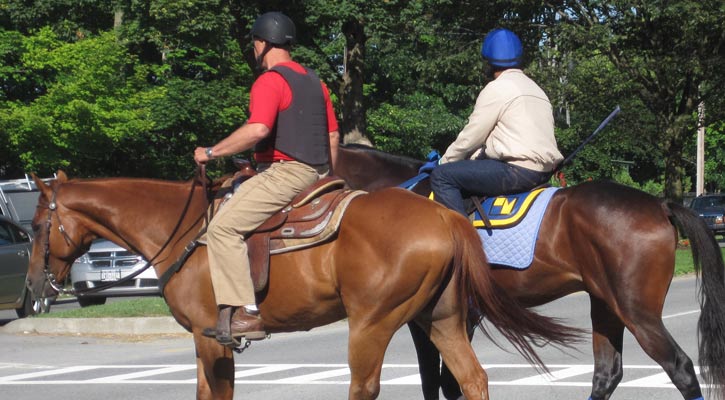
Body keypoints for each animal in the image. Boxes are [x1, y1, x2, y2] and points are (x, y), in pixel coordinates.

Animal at [26, 171, 584, 400]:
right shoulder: (208, 343)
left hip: (373, 323)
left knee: (365, 387)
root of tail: (445, 216)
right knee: (472, 381)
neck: (183, 233)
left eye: (33, 225)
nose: (34, 288)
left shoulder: (213, 340)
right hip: (441, 319)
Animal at [336, 144, 724, 400]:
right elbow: (450, 382)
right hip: (606, 305)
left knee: (680, 368)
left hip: (637, 312)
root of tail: (659, 204)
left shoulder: (425, 318)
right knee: (607, 374)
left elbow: (437, 382)